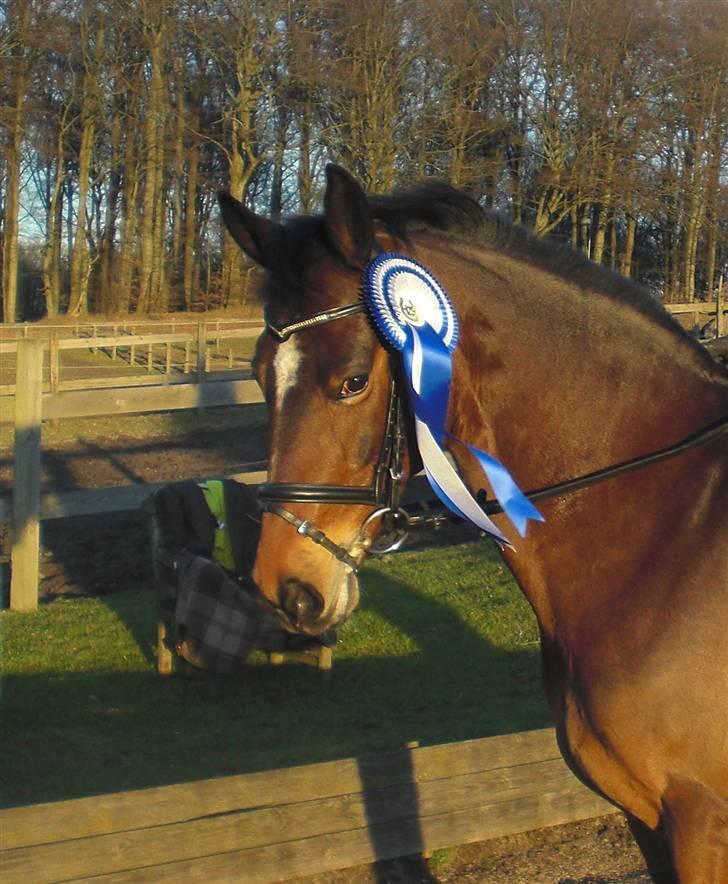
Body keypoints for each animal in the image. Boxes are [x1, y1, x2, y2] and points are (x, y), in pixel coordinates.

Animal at [219, 165, 728, 882]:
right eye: (260, 374)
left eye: (352, 381)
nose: (288, 589)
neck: (670, 539)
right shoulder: (649, 820)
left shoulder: (700, 819)